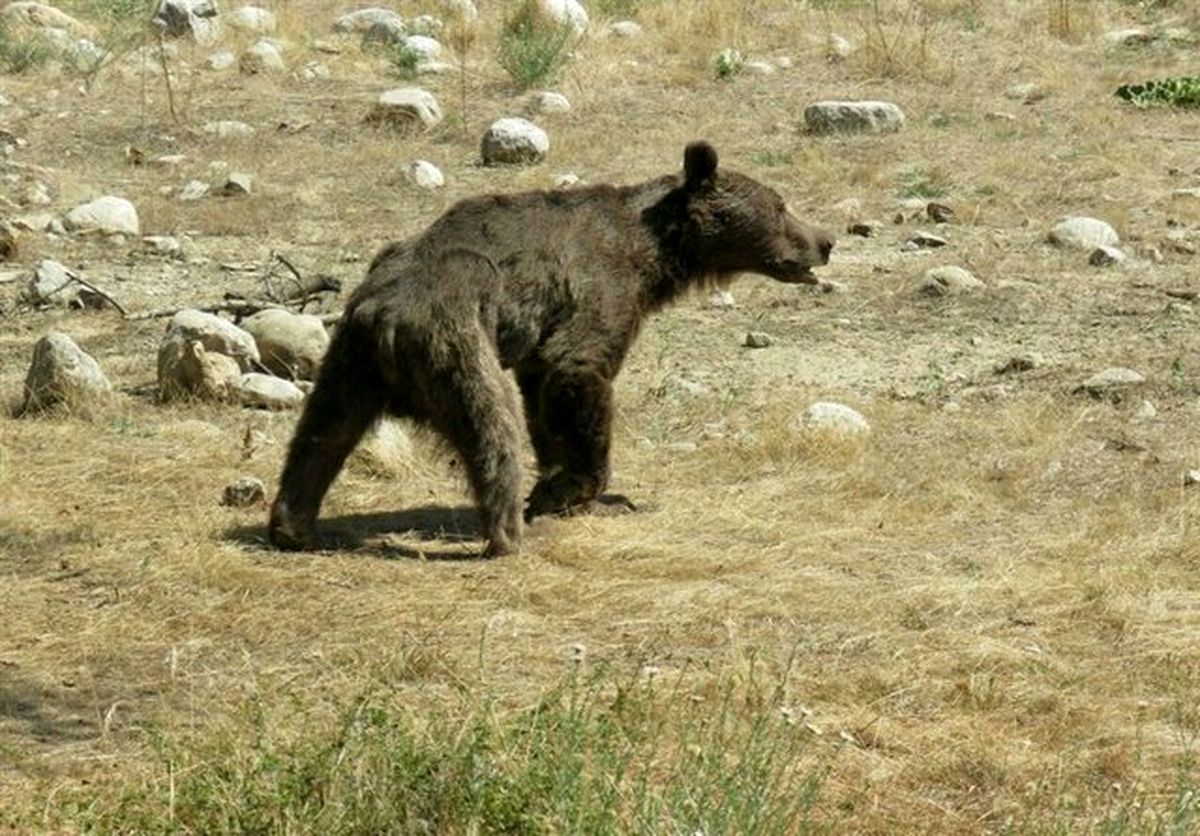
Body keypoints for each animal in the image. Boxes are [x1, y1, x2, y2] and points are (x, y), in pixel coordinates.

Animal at [272, 140, 835, 556]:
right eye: (780, 206)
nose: (825, 241)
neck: (654, 253)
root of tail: (384, 315)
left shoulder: (539, 338)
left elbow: (544, 397)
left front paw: (562, 488)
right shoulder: (599, 288)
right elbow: (576, 370)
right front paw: (581, 491)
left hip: (349, 360)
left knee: (321, 434)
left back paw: (293, 525)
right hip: (457, 338)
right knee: (491, 424)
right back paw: (509, 535)